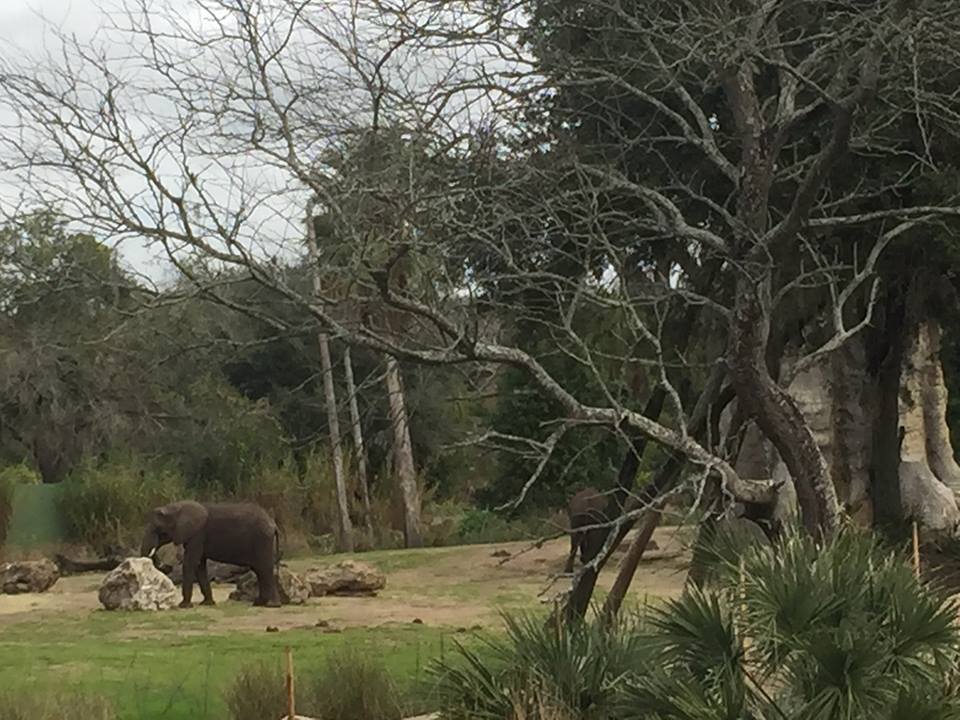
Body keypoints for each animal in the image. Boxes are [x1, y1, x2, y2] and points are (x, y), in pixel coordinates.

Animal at [140, 500, 281, 608]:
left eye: (159, 529)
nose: (164, 565)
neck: (177, 507)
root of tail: (273, 523)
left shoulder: (197, 535)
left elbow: (190, 563)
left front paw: (184, 606)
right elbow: (199, 566)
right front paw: (207, 603)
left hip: (262, 539)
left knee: (264, 569)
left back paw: (271, 605)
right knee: (259, 570)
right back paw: (259, 603)